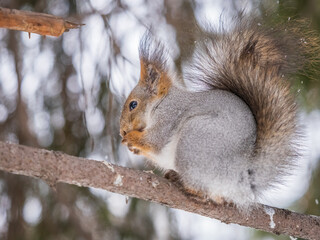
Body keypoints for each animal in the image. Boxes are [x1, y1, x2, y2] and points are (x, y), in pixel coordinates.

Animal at [119, 15, 312, 209]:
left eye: (133, 105)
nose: (122, 130)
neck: (160, 103)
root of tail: (241, 178)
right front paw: (132, 146)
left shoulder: (170, 116)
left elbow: (155, 140)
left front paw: (130, 139)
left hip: (194, 140)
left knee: (201, 189)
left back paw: (183, 182)